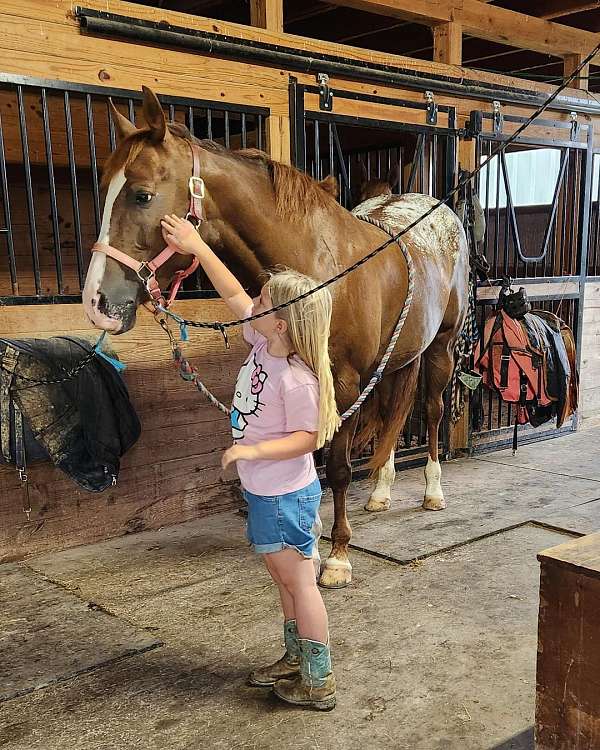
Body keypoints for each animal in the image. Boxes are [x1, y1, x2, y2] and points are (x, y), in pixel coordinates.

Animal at [83, 88, 468, 592]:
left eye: (142, 195)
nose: (97, 302)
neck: (318, 265)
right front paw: (313, 536)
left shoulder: (343, 383)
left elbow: (337, 467)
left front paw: (337, 557)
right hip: (398, 358)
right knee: (391, 416)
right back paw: (382, 491)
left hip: (442, 348)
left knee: (434, 410)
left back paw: (433, 490)